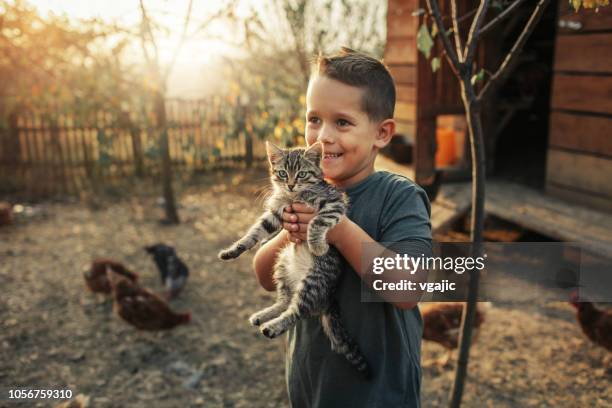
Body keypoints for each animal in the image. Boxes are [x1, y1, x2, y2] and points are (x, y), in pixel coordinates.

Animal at [220, 142, 372, 378]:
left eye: (301, 174)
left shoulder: (334, 203)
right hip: (282, 264)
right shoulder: (275, 214)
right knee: (285, 301)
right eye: (283, 173)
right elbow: (254, 232)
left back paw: (273, 326)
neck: (294, 197)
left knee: (297, 311)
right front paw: (234, 249)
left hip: (312, 282)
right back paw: (263, 315)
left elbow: (318, 221)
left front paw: (317, 244)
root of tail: (327, 298)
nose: (290, 185)